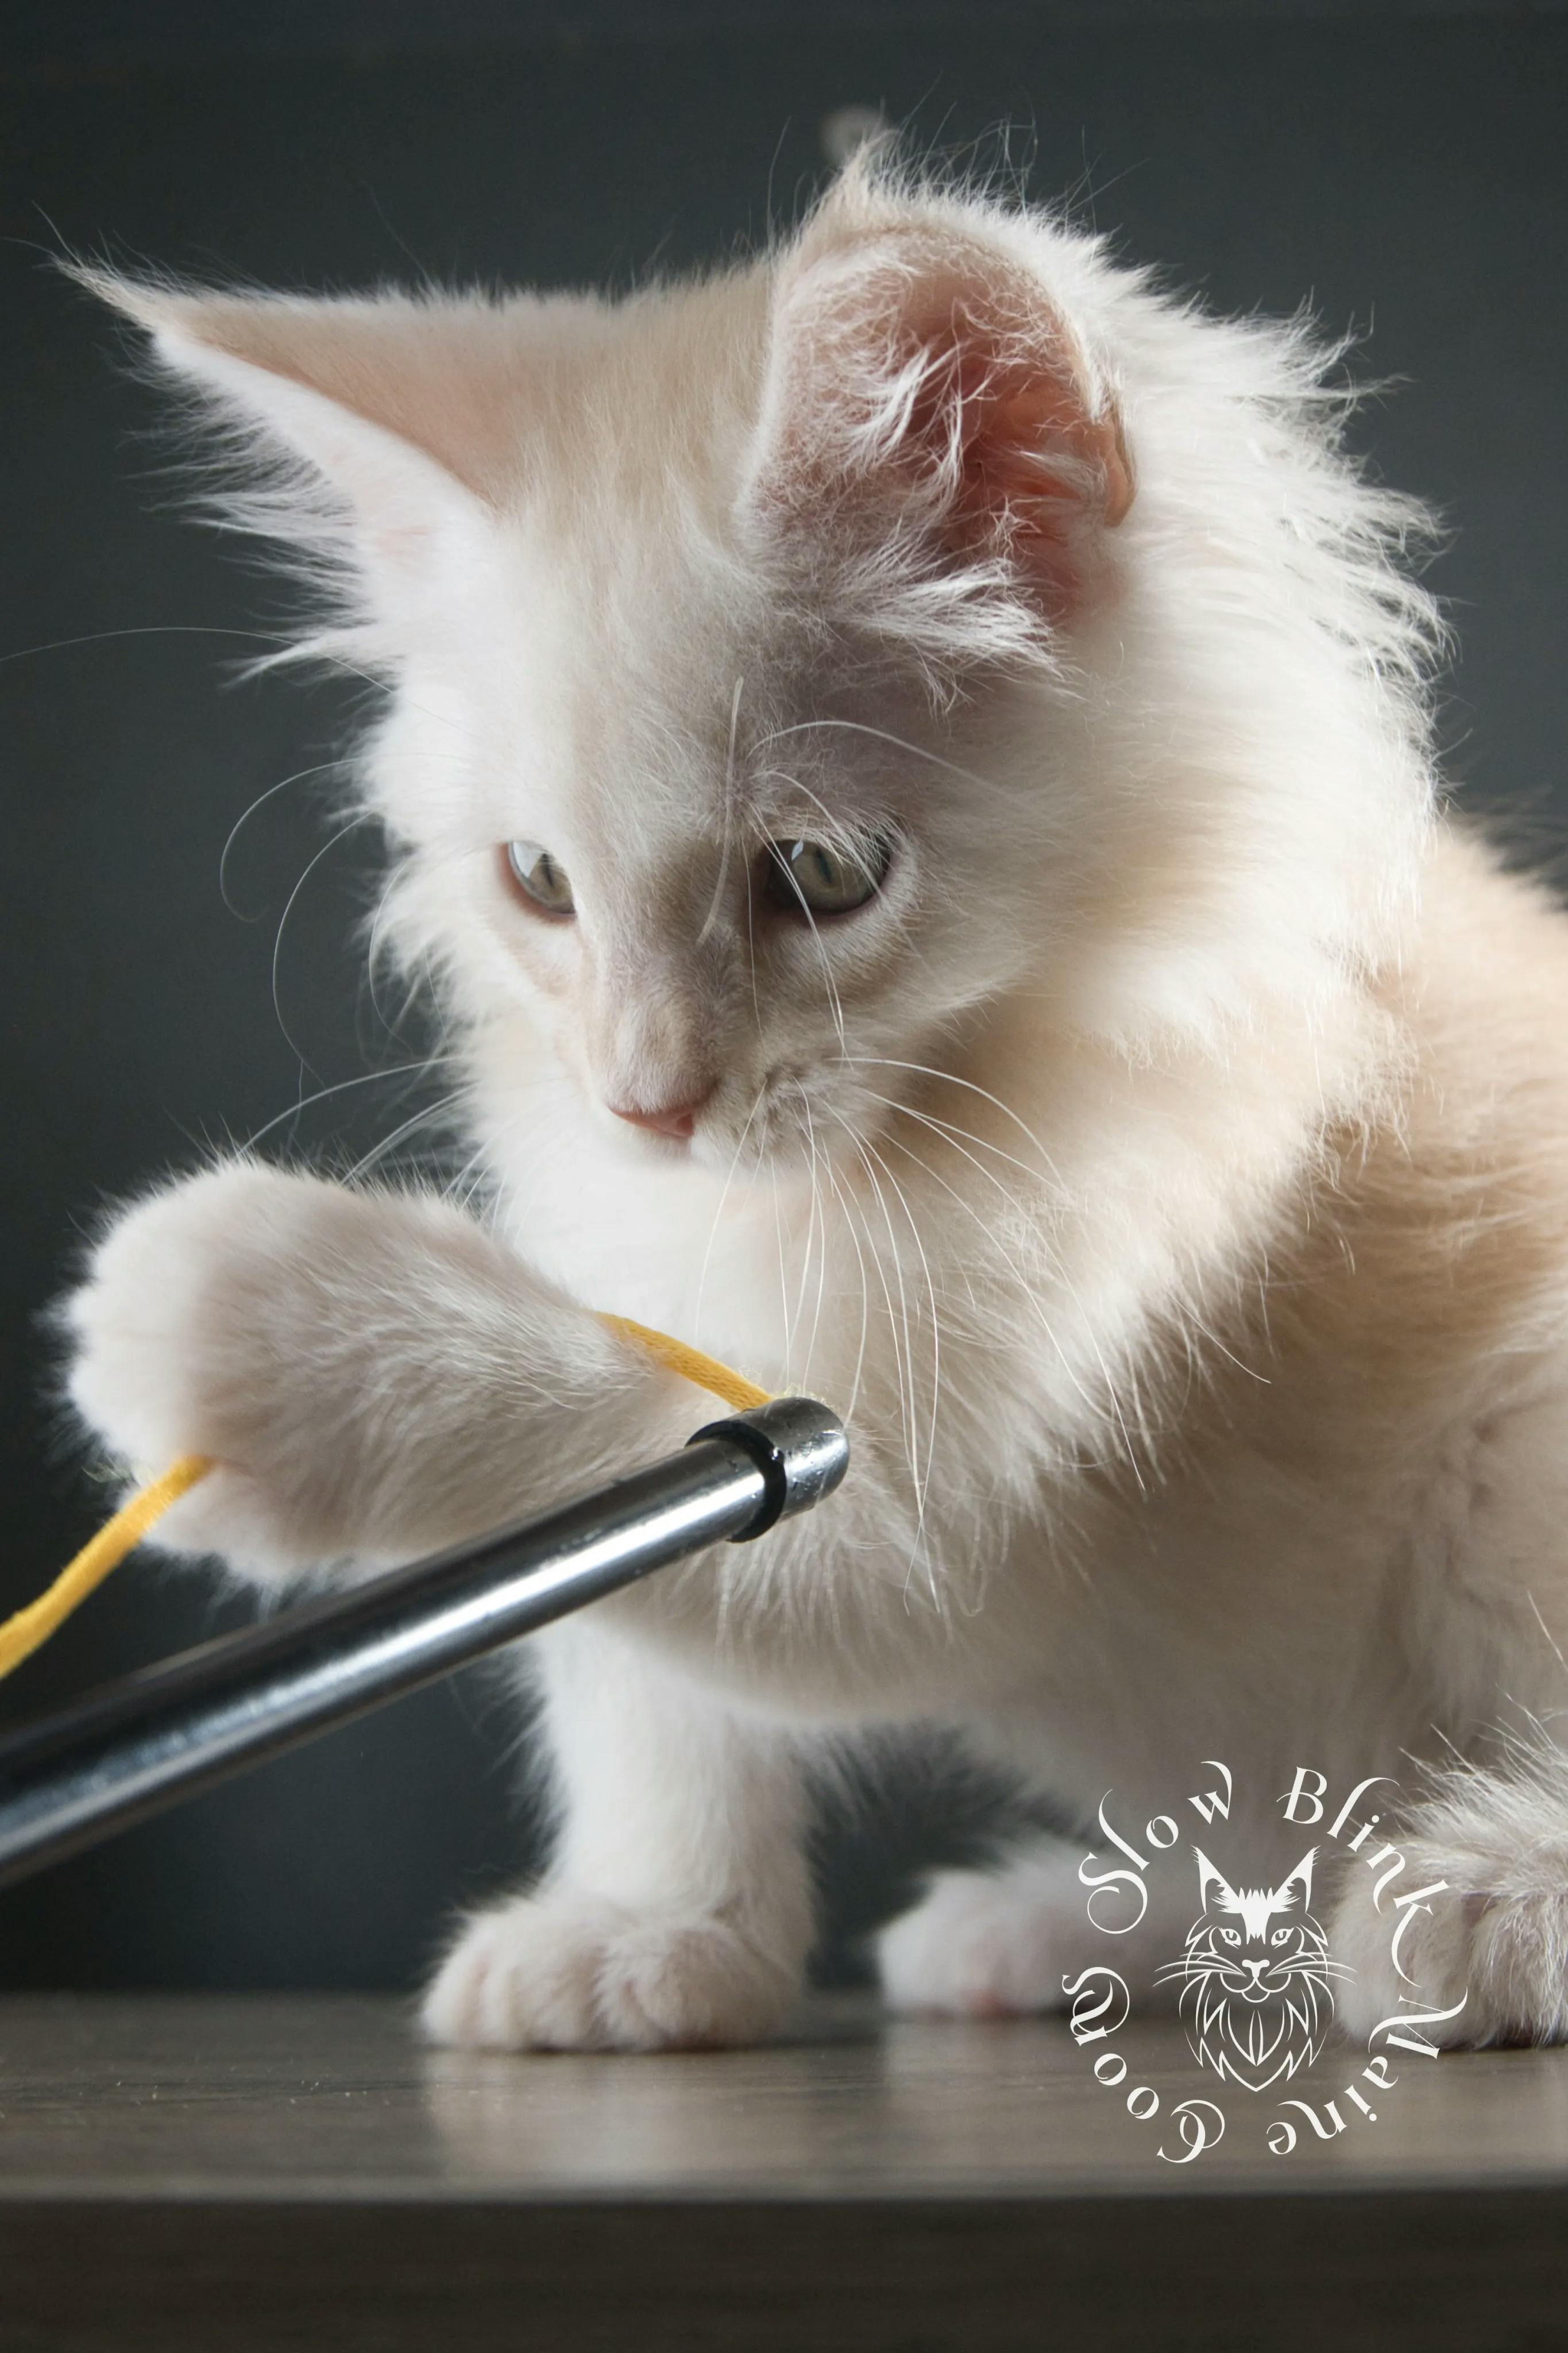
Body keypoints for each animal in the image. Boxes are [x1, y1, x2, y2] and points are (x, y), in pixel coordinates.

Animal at [61, 156, 1568, 2051]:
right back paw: (1052, 1930)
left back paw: (1480, 1897)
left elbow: (664, 1467)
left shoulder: (974, 1501)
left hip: (1510, 1439)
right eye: (539, 886)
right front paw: (648, 1937)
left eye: (823, 877)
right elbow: (635, 1684)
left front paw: (282, 1325)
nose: (645, 1104)